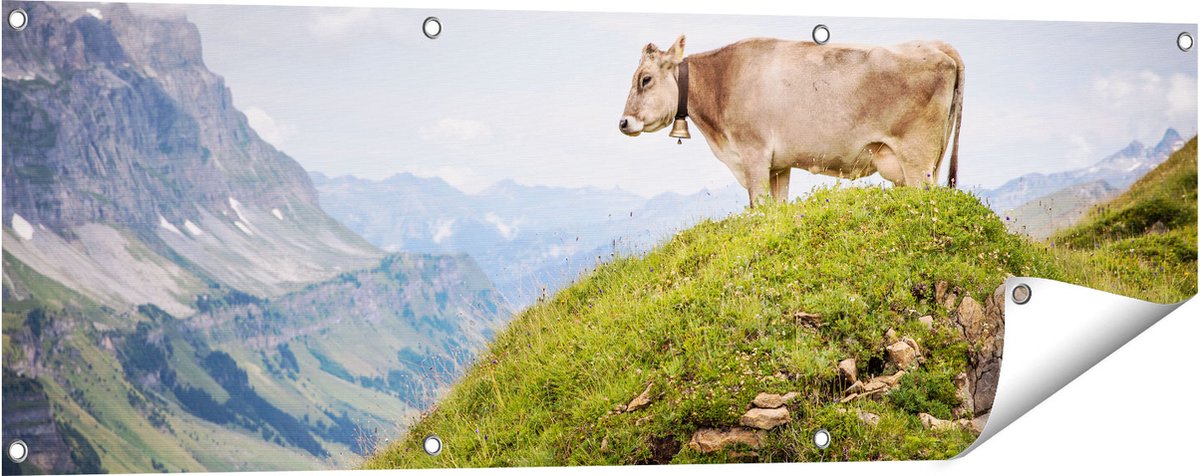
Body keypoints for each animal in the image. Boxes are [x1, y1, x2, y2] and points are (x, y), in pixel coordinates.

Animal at [619, 35, 964, 206]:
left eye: (645, 79)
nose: (623, 122)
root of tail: (937, 46)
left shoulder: (754, 155)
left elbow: (758, 208)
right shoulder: (779, 165)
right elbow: (778, 208)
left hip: (917, 159)